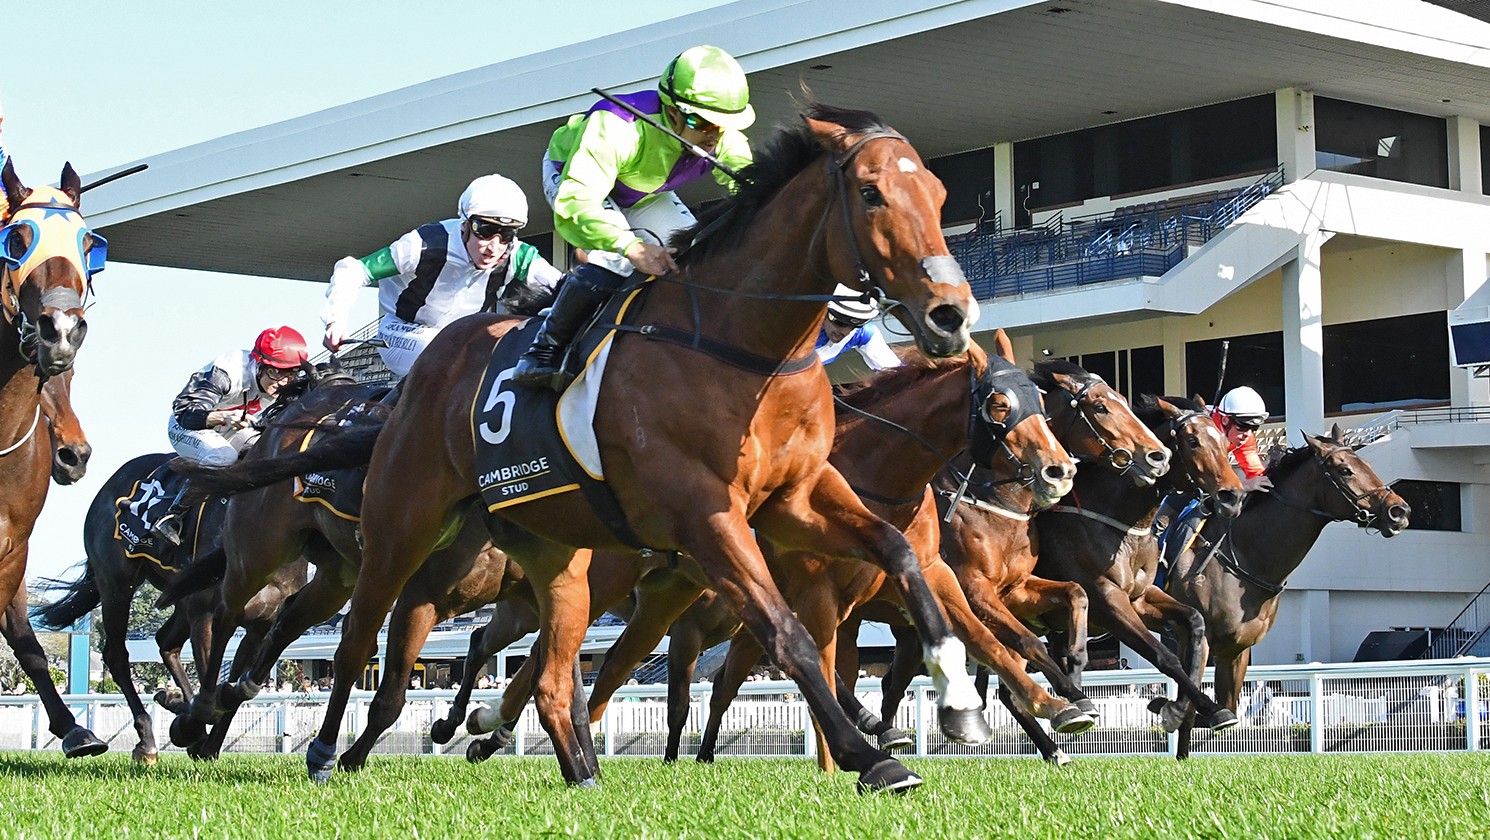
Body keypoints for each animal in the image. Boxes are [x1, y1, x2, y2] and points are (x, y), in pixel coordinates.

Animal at [280, 104, 995, 792]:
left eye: (939, 194)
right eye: (871, 193)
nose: (951, 314)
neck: (745, 348)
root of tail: (420, 366)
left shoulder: (797, 499)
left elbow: (898, 551)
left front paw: (958, 698)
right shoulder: (706, 518)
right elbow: (784, 632)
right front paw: (867, 758)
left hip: (556, 555)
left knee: (549, 673)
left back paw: (579, 771)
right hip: (403, 524)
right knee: (359, 635)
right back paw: (327, 751)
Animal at [1031, 396, 1251, 735]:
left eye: (1226, 443)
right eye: (1192, 441)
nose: (1233, 497)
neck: (1122, 524)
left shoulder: (1141, 597)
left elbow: (1194, 622)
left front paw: (1201, 707)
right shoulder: (1107, 600)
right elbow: (1163, 655)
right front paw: (1189, 708)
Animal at [1162, 425, 1406, 753]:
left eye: (1367, 464)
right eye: (1345, 470)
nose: (1399, 510)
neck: (1241, 555)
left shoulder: (1236, 649)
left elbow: (1225, 710)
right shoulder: (1193, 640)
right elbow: (1189, 709)